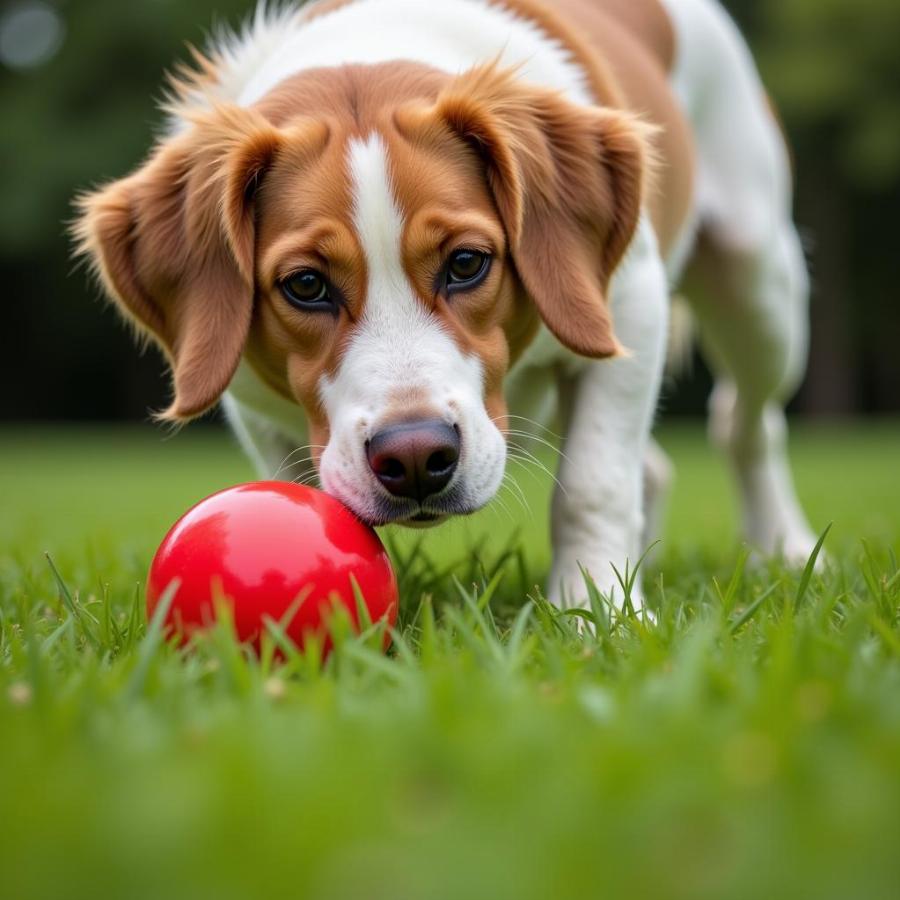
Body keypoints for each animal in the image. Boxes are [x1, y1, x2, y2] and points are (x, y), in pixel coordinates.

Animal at [74, 0, 820, 612]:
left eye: (466, 263)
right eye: (306, 285)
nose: (414, 457)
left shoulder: (629, 306)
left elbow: (594, 484)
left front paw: (598, 611)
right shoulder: (250, 401)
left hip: (759, 286)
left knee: (745, 422)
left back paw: (782, 548)